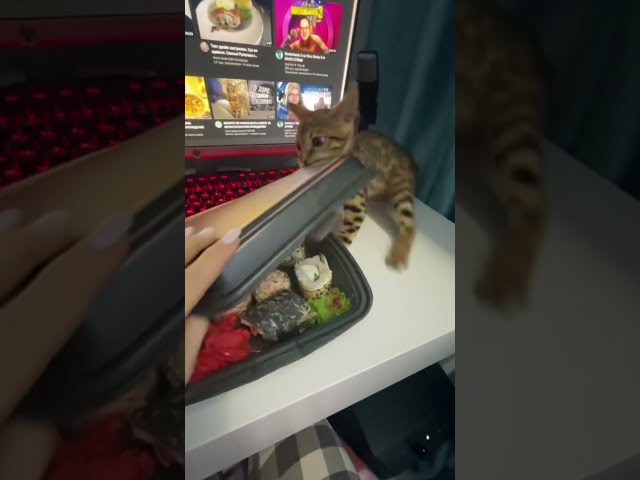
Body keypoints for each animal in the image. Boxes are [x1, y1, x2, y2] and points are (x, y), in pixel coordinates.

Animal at [289, 84, 417, 270]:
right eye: (298, 145)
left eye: (318, 141)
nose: (303, 162)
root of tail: (408, 156)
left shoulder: (357, 204)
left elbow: (343, 239)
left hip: (402, 188)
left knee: (410, 225)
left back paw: (399, 254)